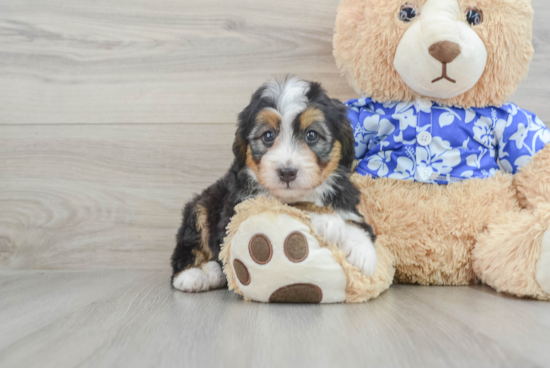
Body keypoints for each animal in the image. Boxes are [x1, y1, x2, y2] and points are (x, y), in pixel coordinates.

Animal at [171, 76, 380, 292]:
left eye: (312, 135)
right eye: (268, 136)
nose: (287, 172)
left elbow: (353, 219)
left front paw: (363, 250)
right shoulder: (243, 203)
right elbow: (292, 205)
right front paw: (327, 219)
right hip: (201, 207)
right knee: (189, 244)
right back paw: (193, 275)